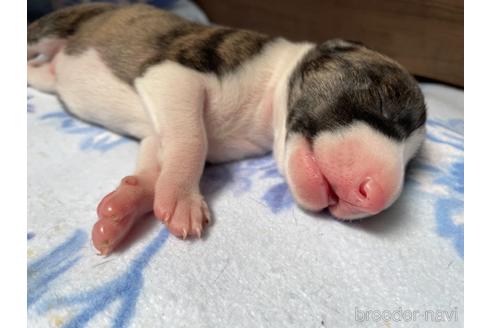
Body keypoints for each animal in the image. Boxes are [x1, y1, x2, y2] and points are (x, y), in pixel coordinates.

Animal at [27, 3, 426, 254]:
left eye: (410, 163)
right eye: (384, 105)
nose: (377, 197)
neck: (267, 97)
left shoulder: (157, 128)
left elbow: (158, 160)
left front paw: (122, 209)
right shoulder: (175, 75)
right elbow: (193, 141)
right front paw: (183, 200)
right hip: (54, 27)